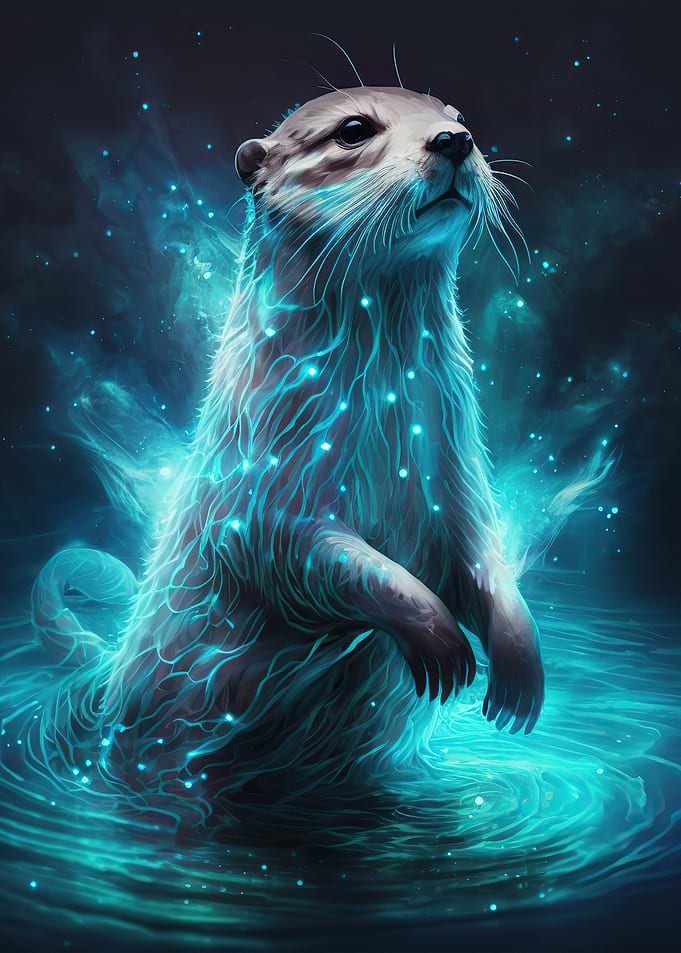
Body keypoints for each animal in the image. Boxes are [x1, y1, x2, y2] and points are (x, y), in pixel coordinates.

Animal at [32, 87, 544, 803]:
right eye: (354, 129)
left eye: (459, 117)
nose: (453, 140)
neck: (385, 427)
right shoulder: (258, 484)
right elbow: (291, 553)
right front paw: (438, 637)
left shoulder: (457, 474)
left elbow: (480, 555)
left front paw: (518, 663)